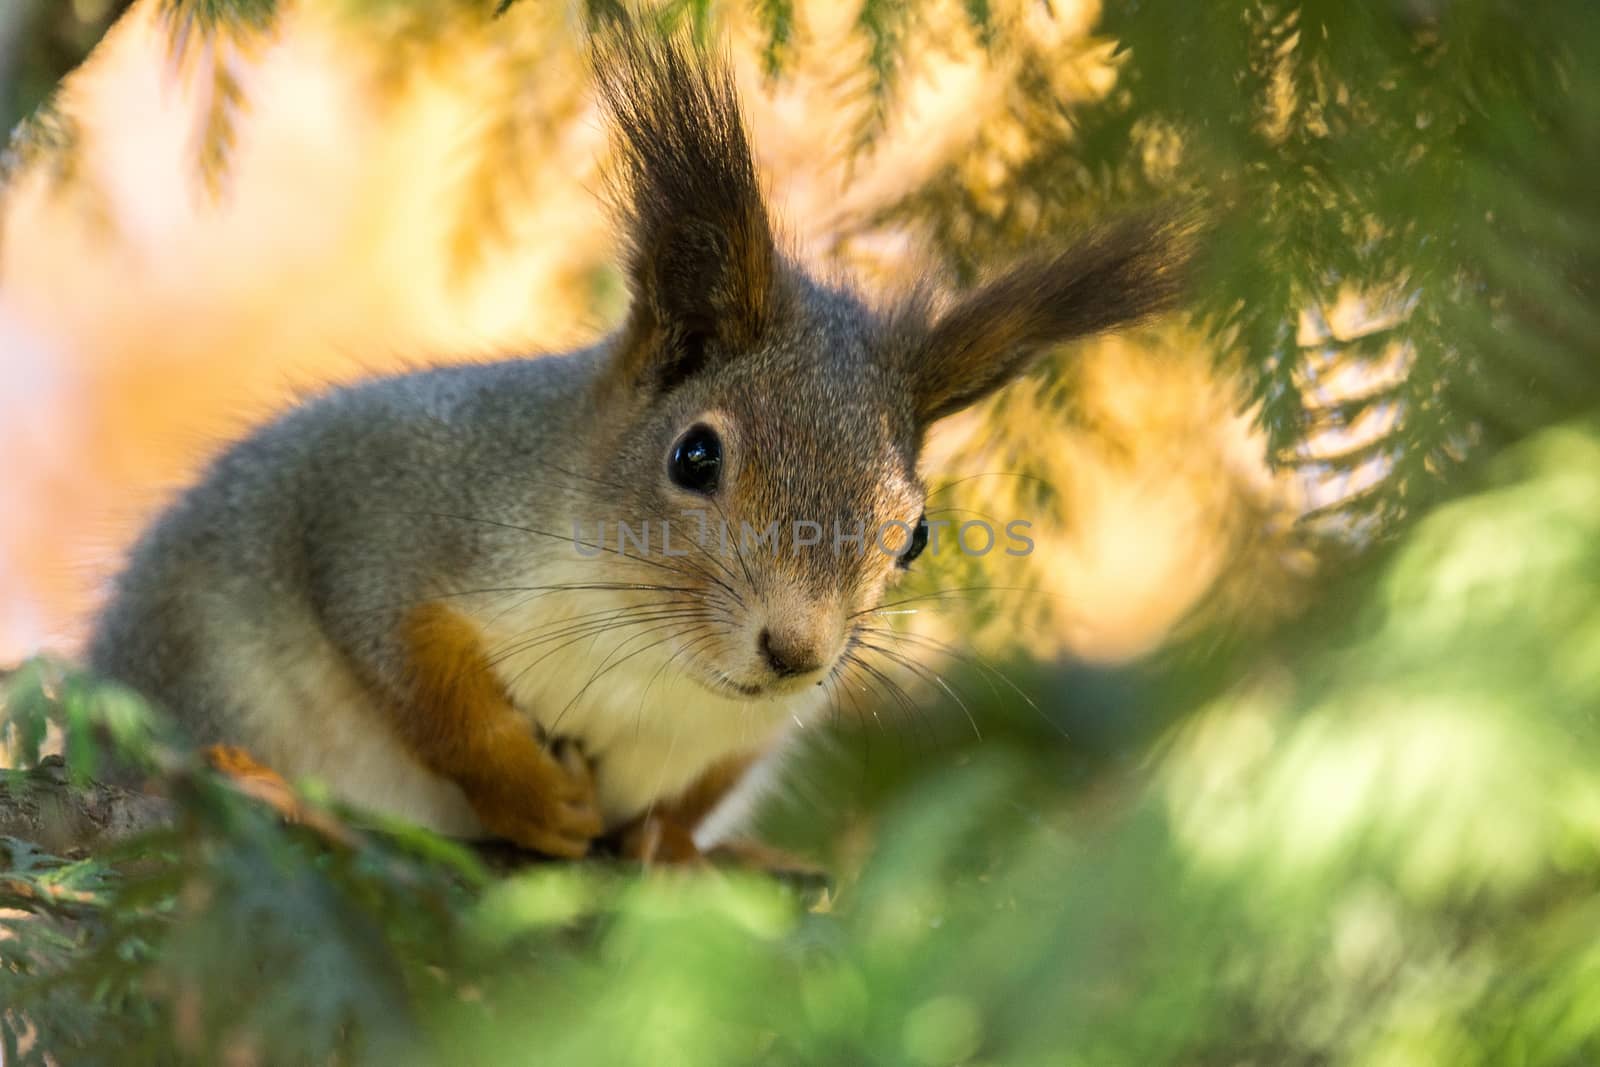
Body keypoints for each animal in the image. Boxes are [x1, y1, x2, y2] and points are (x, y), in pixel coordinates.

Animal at [84, 20, 1190, 863]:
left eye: (914, 533)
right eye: (694, 456)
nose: (796, 650)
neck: (648, 654)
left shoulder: (757, 732)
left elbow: (702, 788)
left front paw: (668, 845)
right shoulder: (387, 508)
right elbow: (413, 665)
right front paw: (531, 794)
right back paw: (256, 779)